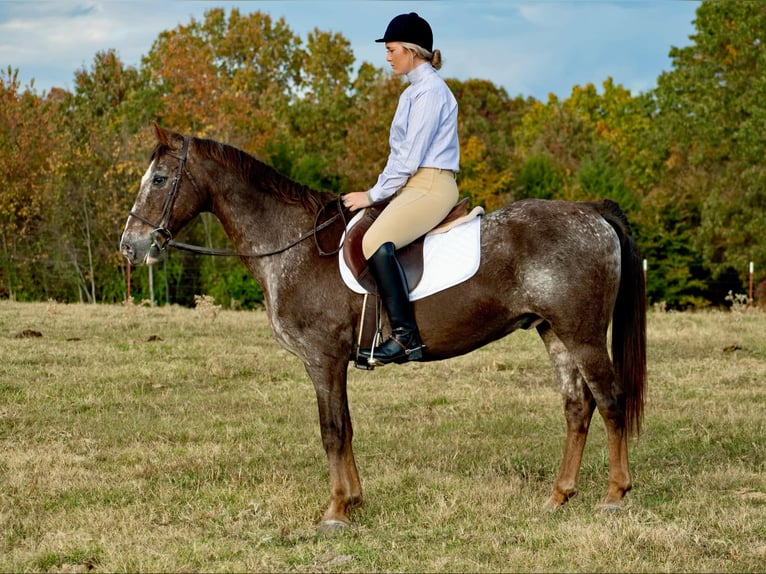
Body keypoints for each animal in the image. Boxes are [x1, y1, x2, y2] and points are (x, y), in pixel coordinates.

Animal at [120, 124, 646, 532]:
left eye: (160, 179)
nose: (130, 245)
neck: (294, 246)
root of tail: (591, 212)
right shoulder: (334, 363)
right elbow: (348, 427)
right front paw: (353, 501)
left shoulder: (323, 359)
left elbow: (332, 430)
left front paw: (335, 511)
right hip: (554, 333)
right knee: (577, 408)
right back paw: (558, 496)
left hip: (582, 335)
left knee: (610, 401)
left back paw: (614, 495)